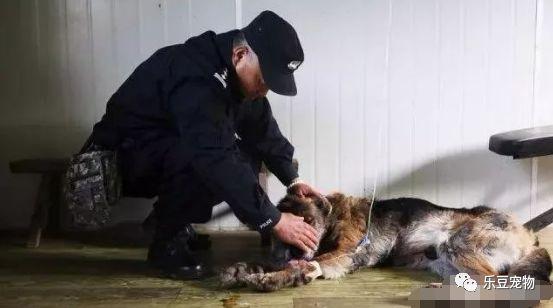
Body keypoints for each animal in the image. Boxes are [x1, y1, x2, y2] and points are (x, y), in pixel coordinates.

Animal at [220, 192, 552, 292]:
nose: (287, 253)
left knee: (493, 282)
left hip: (456, 244)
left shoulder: (346, 252)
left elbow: (306, 265)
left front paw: (274, 277)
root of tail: (529, 237)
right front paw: (241, 270)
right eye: (281, 234)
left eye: (307, 224)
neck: (333, 215)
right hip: (444, 261)